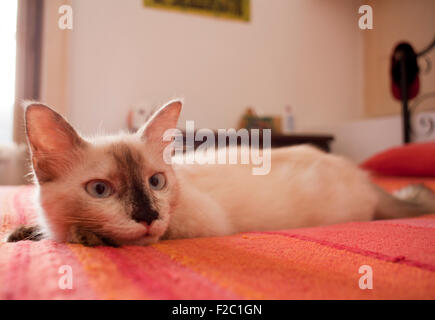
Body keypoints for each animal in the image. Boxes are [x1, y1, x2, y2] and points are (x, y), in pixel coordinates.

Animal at [5, 101, 435, 246]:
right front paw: (22, 235)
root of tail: (361, 174)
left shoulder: (197, 224)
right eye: (99, 190)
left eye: (156, 182)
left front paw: (84, 236)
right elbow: (38, 228)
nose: (149, 216)